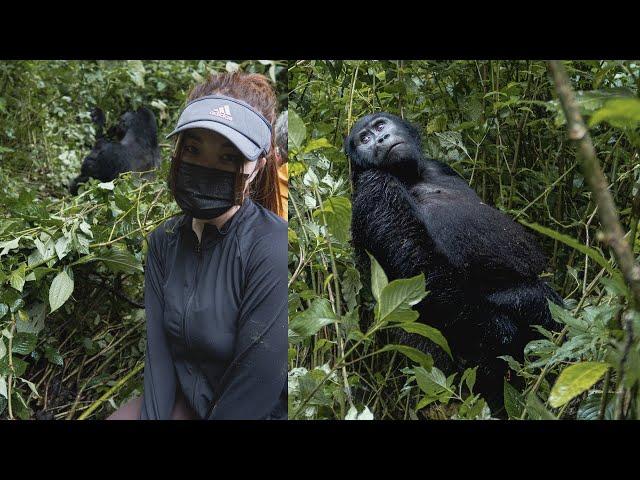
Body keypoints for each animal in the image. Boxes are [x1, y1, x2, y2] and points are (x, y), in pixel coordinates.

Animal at [344, 112, 560, 412]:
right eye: (364, 139)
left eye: (380, 125)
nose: (381, 139)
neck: (412, 175)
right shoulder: (374, 188)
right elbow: (423, 271)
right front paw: (500, 331)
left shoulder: (440, 167)